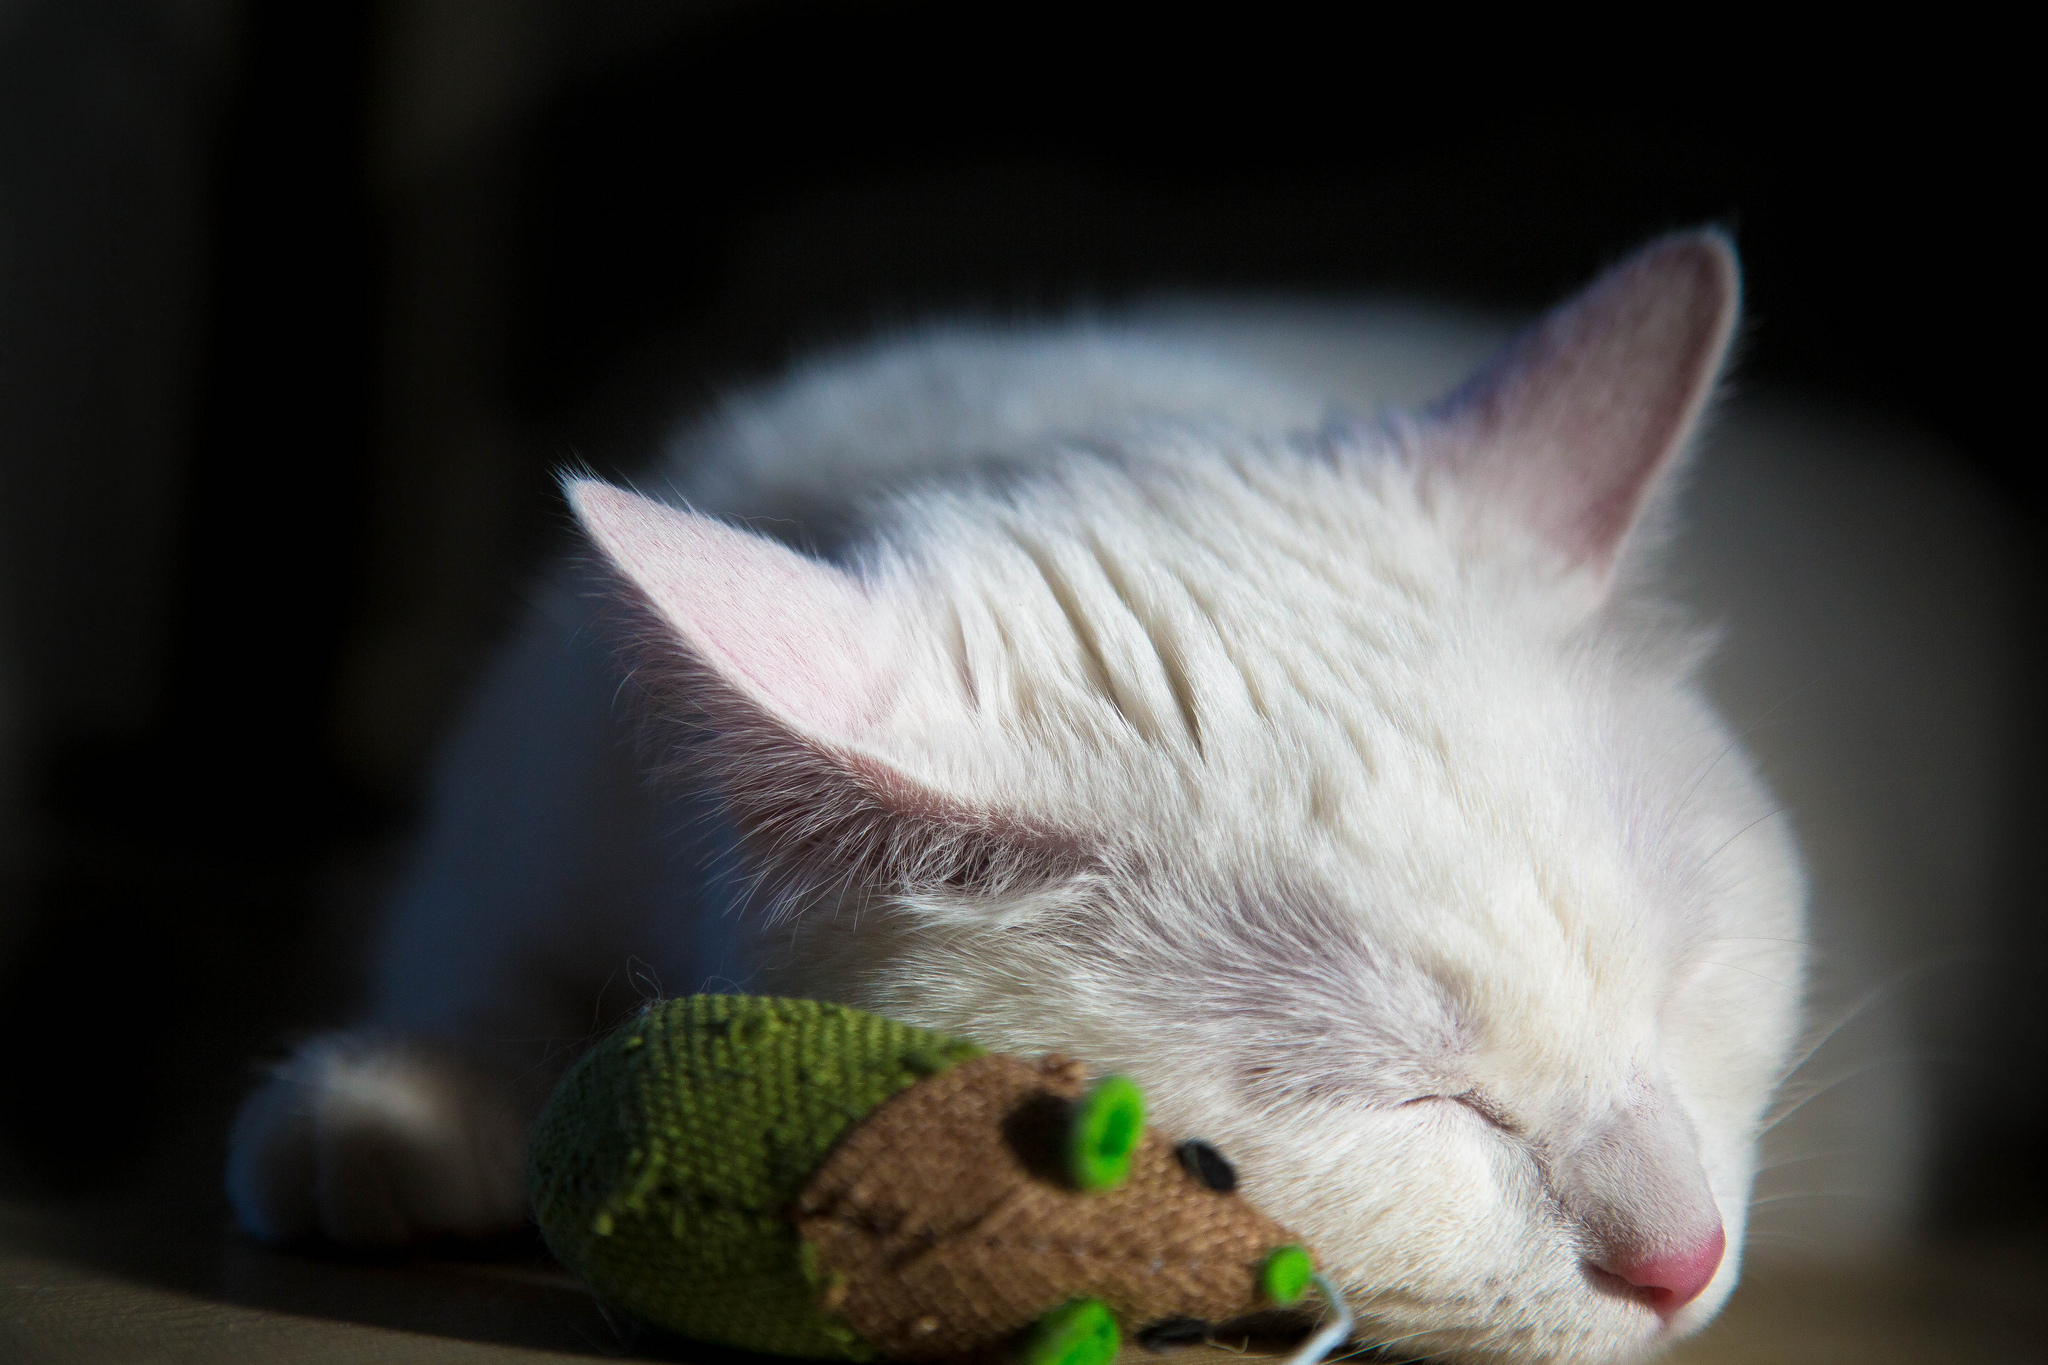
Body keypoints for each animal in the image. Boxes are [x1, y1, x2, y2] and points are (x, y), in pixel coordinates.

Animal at [224, 235, 1810, 1365]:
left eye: (1686, 984)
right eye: (1410, 1097)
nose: (1683, 1260)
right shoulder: (528, 794)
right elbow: (482, 956)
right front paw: (410, 1097)